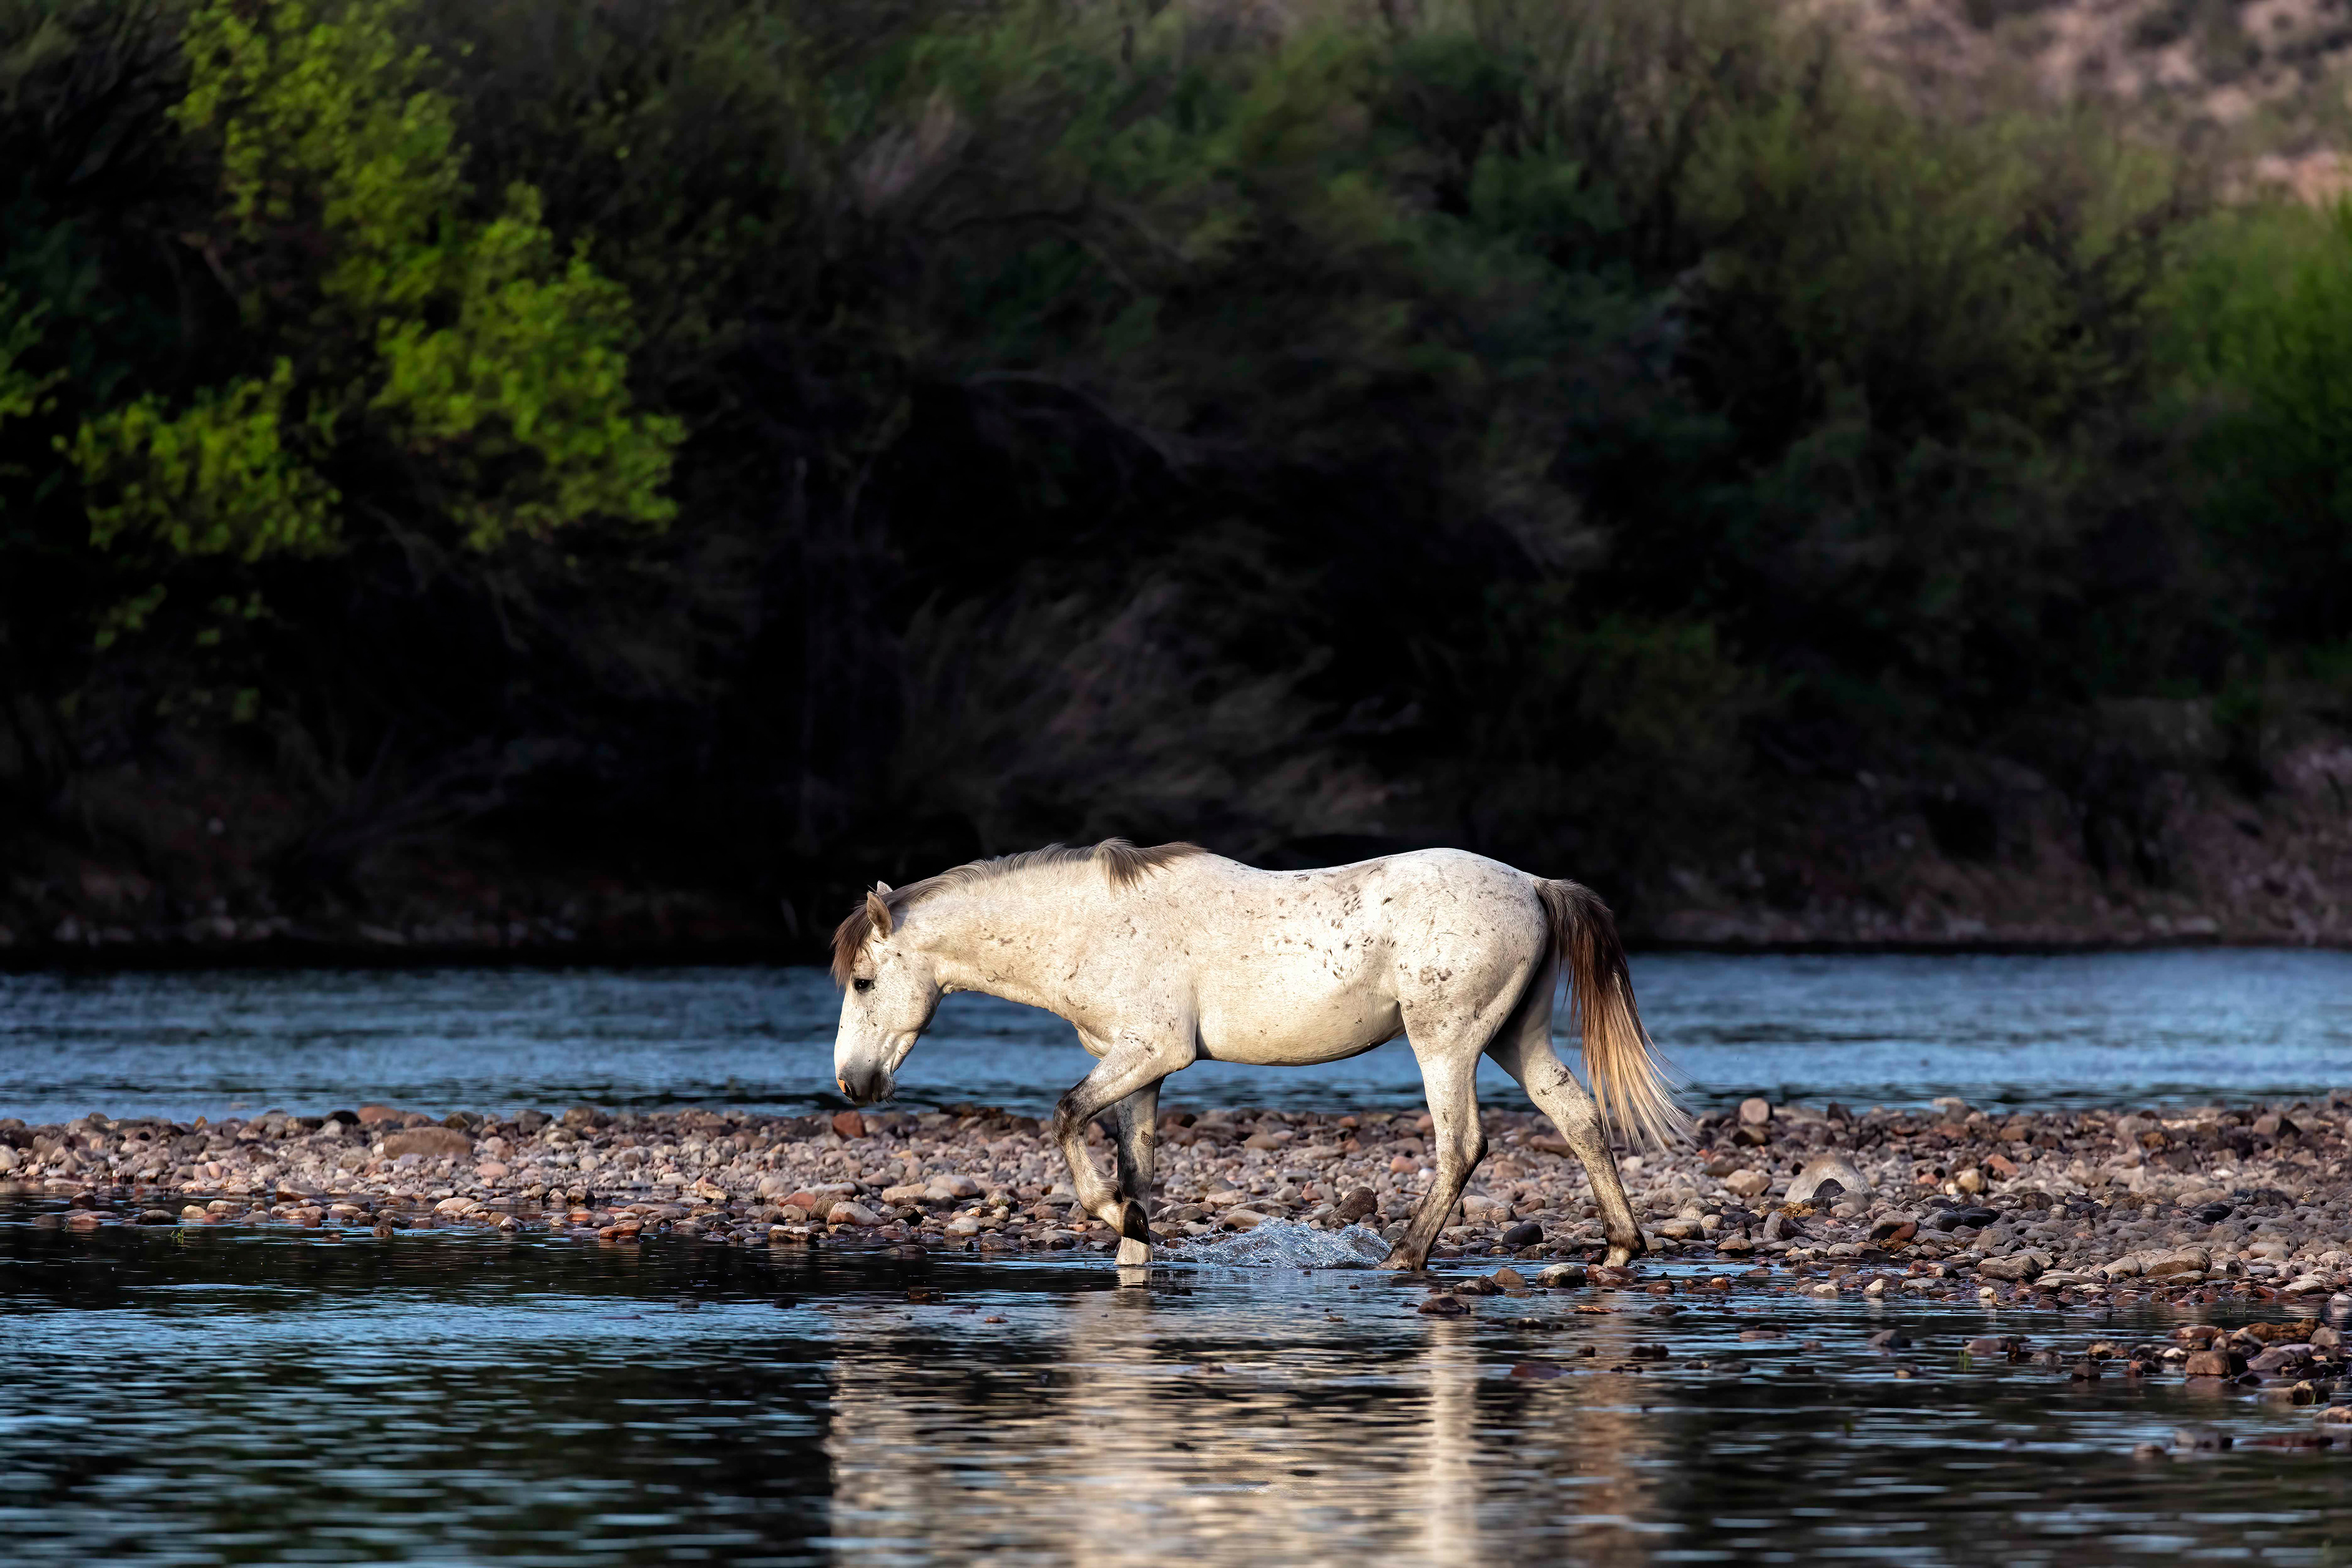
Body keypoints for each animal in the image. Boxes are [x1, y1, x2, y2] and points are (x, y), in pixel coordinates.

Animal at [828, 838, 1685, 1269]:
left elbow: (1067, 1115)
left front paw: (1109, 1210)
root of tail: (1534, 883)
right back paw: (1621, 1247)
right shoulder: (1138, 1070)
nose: (851, 1082)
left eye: (865, 980)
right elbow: (1137, 1169)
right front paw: (1133, 1235)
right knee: (1578, 1116)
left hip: (1446, 1042)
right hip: (1514, 1037)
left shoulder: (1151, 1050)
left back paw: (1401, 1257)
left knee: (1461, 1144)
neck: (1089, 925)